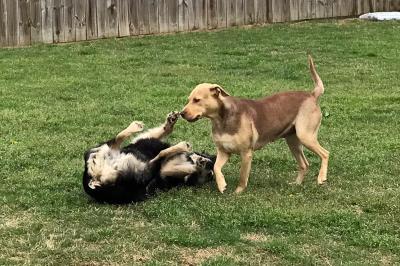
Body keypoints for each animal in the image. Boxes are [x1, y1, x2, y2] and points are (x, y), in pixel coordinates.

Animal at [82, 112, 216, 204]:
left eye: (210, 175)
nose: (207, 163)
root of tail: (94, 177)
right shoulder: (143, 141)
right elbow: (164, 133)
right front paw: (170, 122)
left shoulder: (165, 171)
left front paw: (198, 164)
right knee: (116, 141)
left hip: (142, 170)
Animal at [183, 56, 330, 193]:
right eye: (189, 100)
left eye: (197, 100)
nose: (182, 113)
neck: (221, 119)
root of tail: (312, 95)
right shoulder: (224, 151)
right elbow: (216, 167)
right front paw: (222, 185)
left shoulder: (246, 153)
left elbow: (242, 176)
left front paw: (238, 192)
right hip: (293, 142)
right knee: (304, 164)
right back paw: (297, 183)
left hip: (306, 136)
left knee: (325, 153)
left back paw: (321, 177)